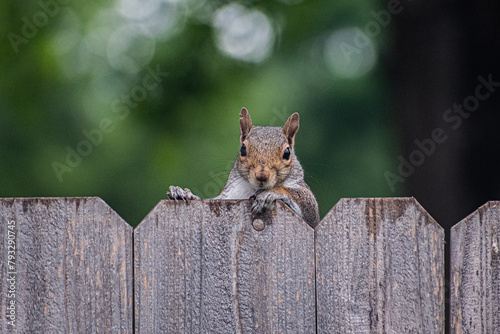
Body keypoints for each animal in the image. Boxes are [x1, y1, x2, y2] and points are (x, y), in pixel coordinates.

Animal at [166, 108, 318, 228]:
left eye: (287, 153)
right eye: (243, 149)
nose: (262, 176)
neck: (253, 189)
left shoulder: (310, 212)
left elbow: (307, 203)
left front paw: (270, 193)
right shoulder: (228, 196)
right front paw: (183, 193)